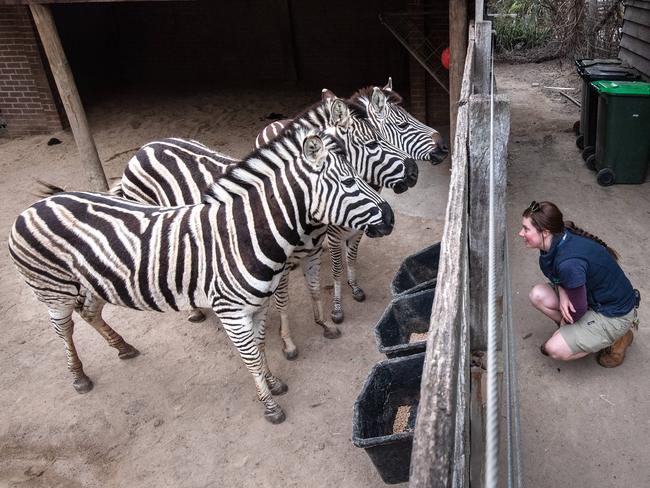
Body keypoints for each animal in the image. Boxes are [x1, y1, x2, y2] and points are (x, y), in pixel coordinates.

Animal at [8, 127, 390, 424]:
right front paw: (270, 405)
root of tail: (32, 207)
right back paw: (79, 376)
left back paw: (124, 347)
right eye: (348, 181)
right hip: (52, 290)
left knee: (89, 312)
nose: (389, 217)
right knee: (64, 329)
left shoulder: (257, 306)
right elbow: (251, 357)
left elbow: (260, 347)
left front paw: (273, 383)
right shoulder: (231, 311)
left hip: (94, 281)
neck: (247, 235)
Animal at [113, 92, 412, 358]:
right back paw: (189, 314)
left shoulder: (313, 253)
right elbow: (282, 303)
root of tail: (145, 147)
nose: (413, 173)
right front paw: (288, 344)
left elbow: (315, 289)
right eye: (372, 143)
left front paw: (324, 324)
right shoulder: (279, 268)